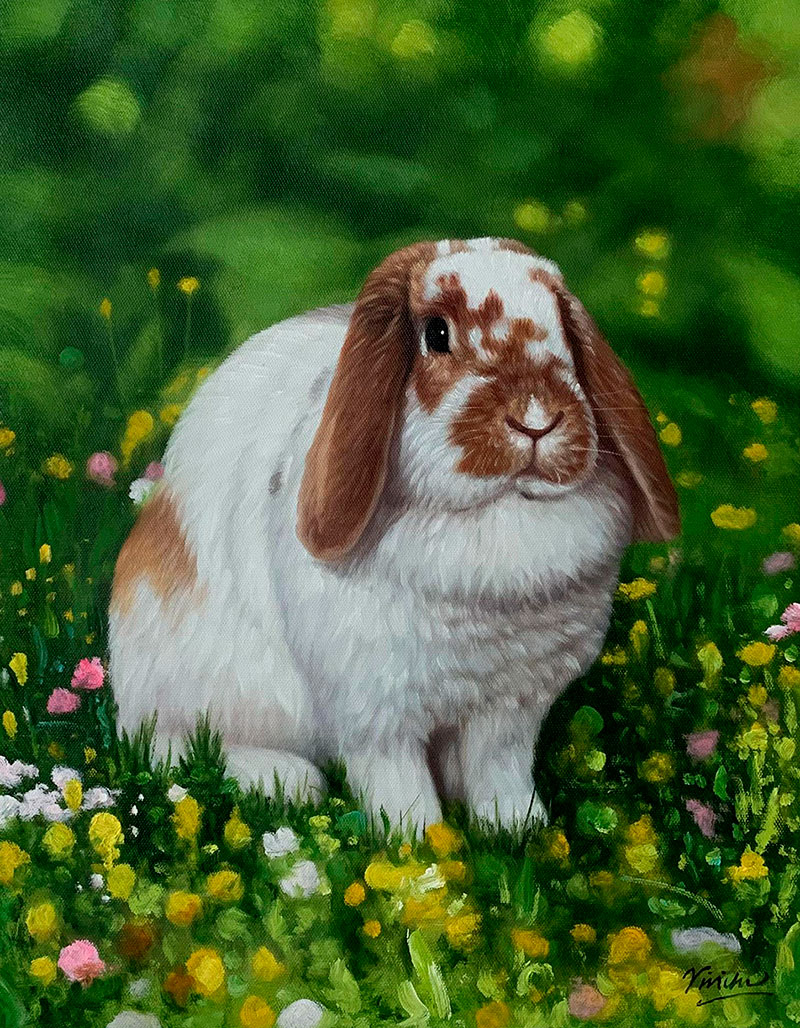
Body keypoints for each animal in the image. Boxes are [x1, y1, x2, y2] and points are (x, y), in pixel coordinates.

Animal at [109, 236, 679, 831]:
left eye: (564, 329)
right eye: (436, 334)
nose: (537, 418)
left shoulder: (510, 706)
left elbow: (499, 770)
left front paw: (521, 830)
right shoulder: (378, 711)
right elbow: (398, 785)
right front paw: (424, 845)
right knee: (175, 746)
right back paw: (288, 779)